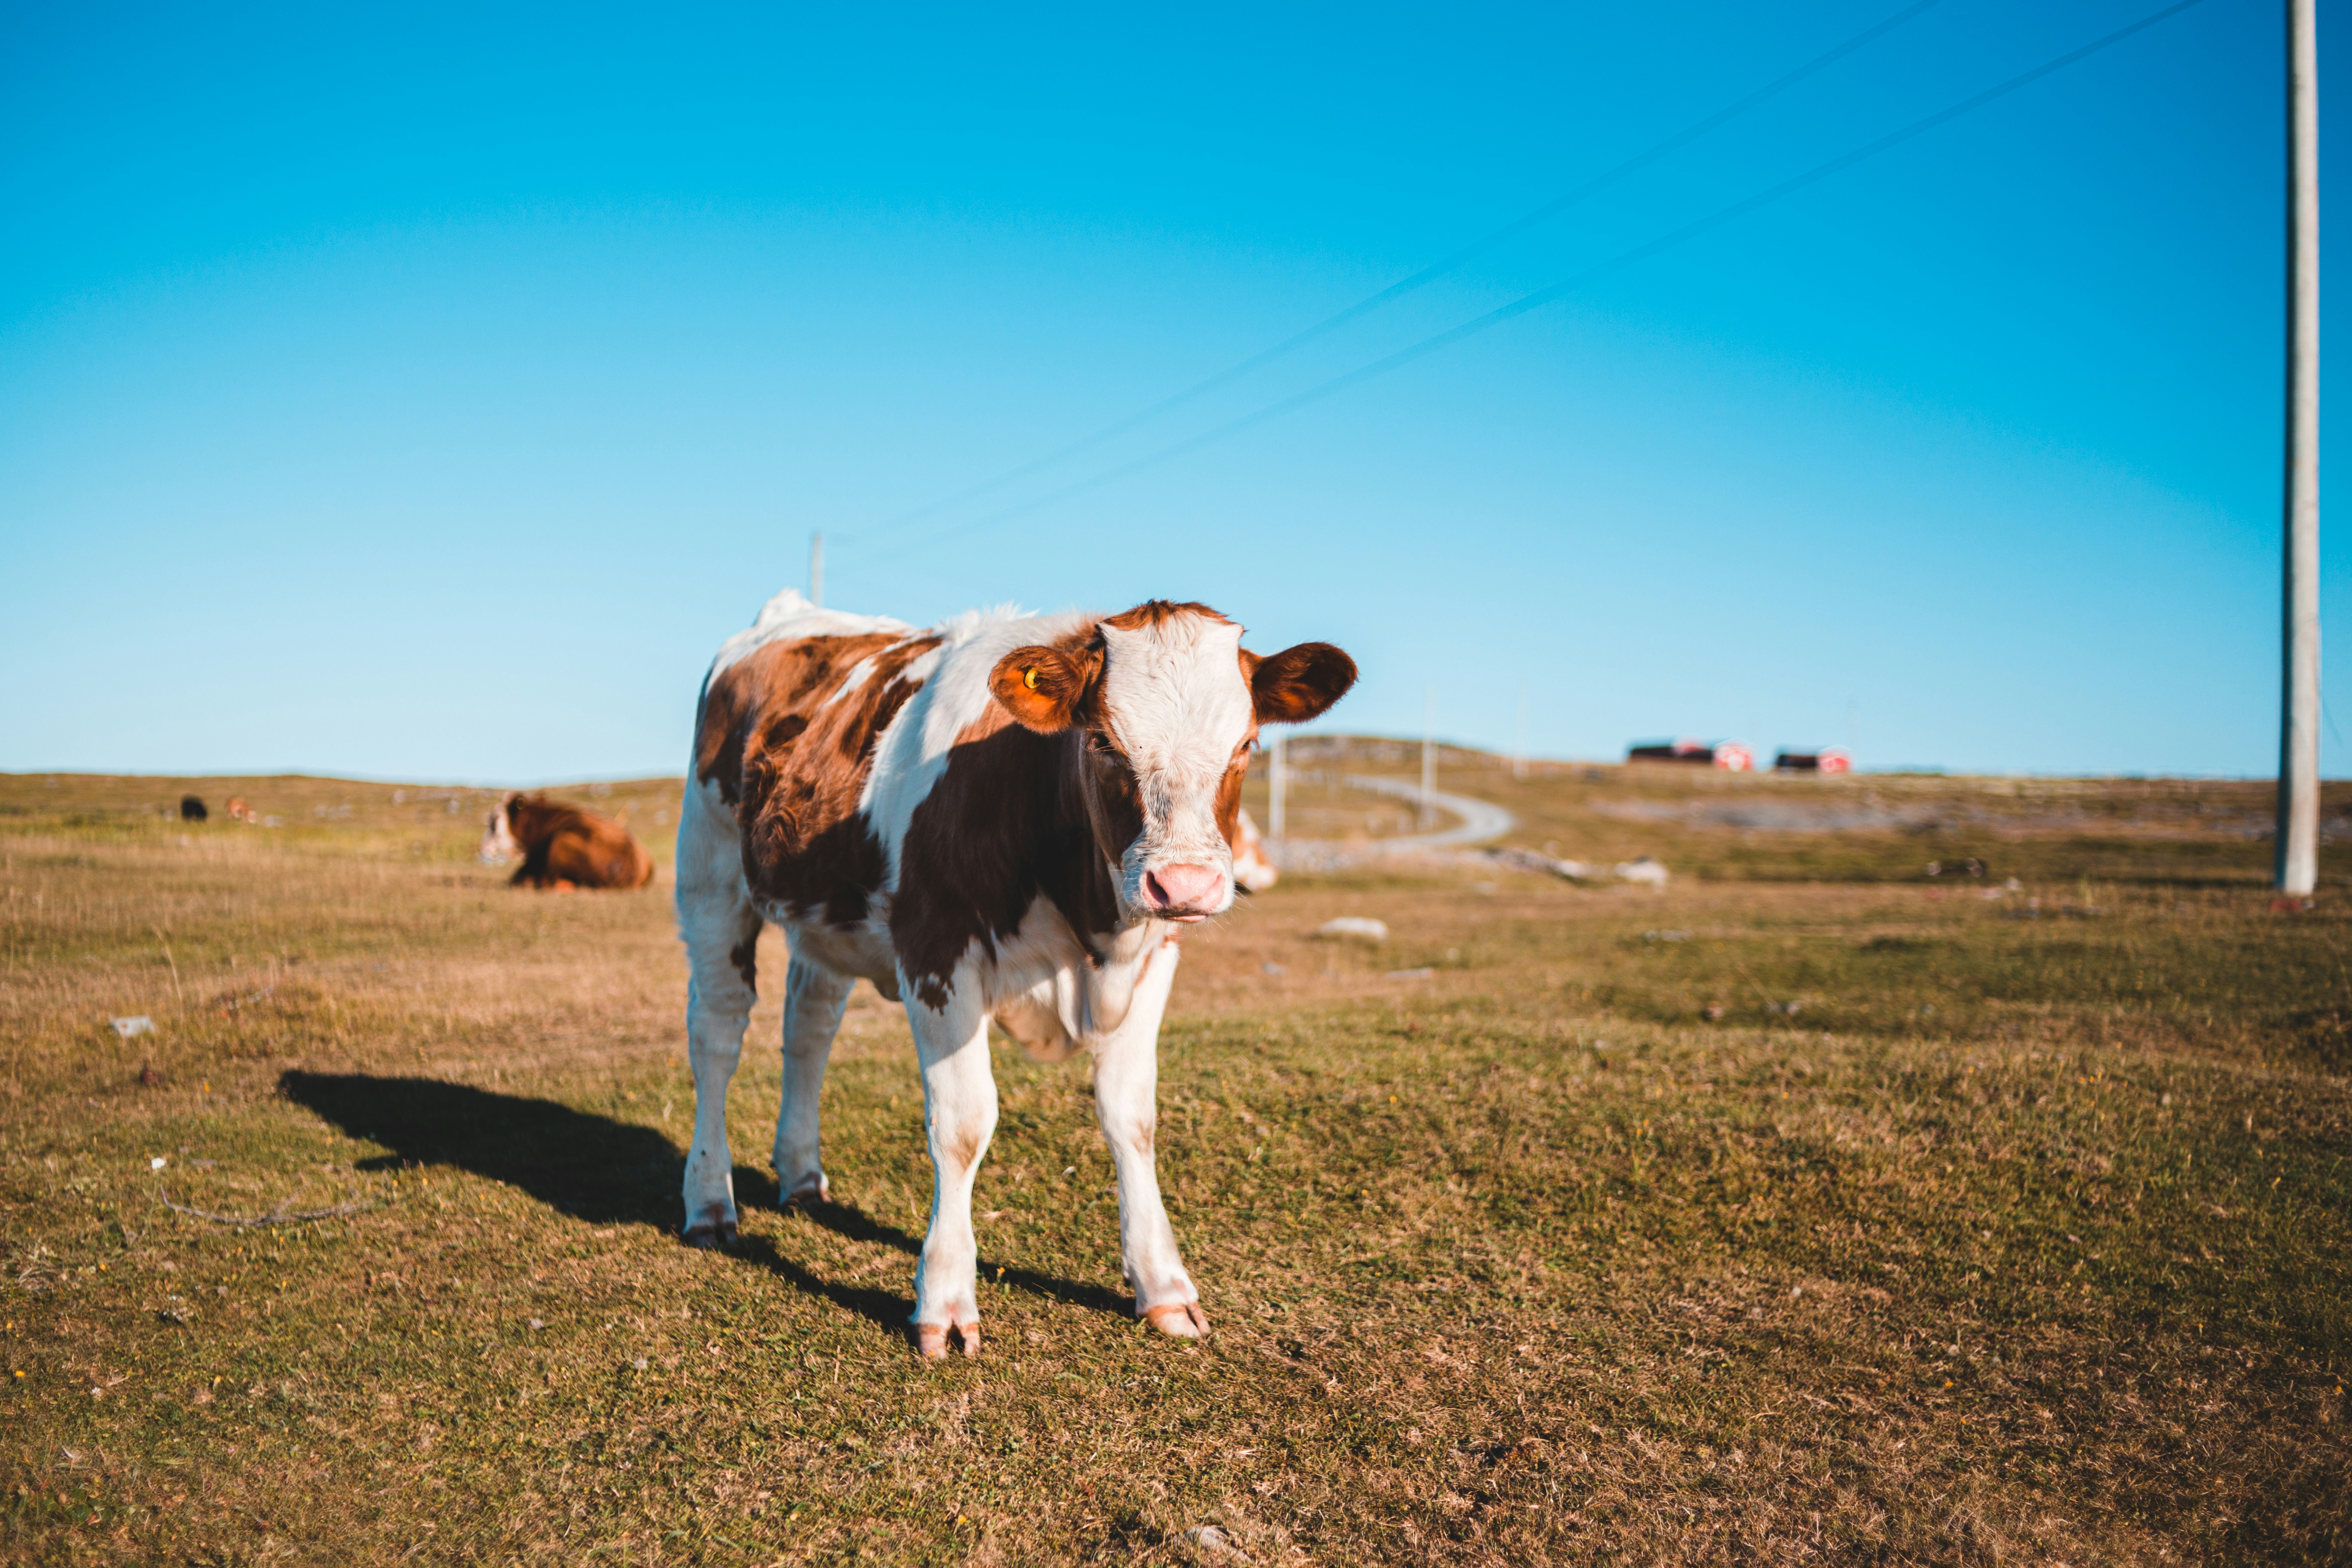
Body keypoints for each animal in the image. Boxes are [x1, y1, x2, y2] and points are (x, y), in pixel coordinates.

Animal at [677, 594, 1364, 1354]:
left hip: (827, 913)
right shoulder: (935, 949)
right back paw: (710, 1202)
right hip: (710, 874)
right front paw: (945, 1301)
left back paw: (800, 1174)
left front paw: (1163, 1286)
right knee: (717, 1035)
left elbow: (1133, 1117)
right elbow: (963, 1124)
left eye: (1247, 746)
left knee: (809, 1028)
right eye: (1104, 743)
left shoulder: (1154, 957)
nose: (1184, 883)